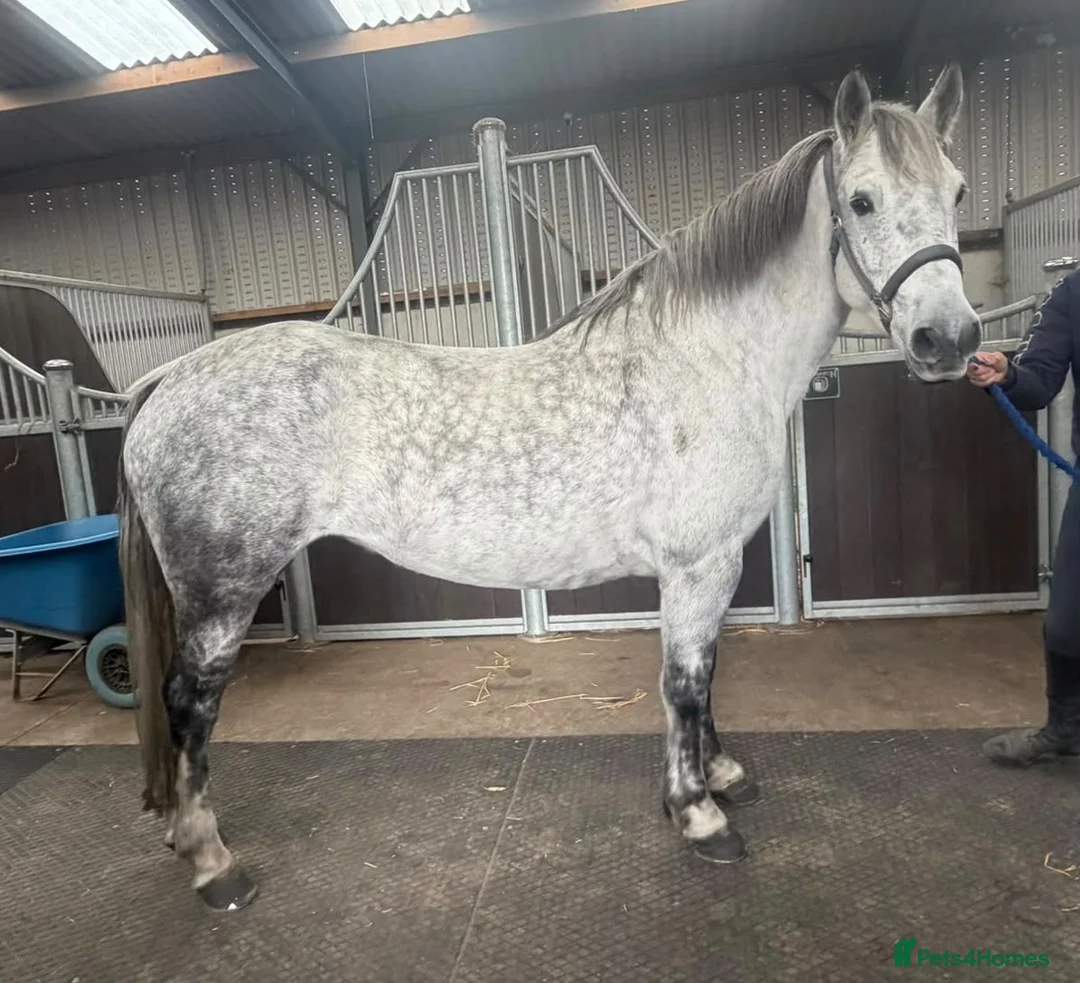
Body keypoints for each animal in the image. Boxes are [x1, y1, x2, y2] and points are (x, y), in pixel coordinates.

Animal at [118, 63, 978, 911]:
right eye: (861, 200)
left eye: (959, 191)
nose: (950, 338)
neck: (705, 359)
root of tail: (171, 376)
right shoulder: (699, 564)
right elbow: (684, 681)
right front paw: (698, 812)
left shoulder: (713, 564)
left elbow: (706, 675)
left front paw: (723, 775)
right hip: (223, 592)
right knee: (190, 702)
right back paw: (213, 861)